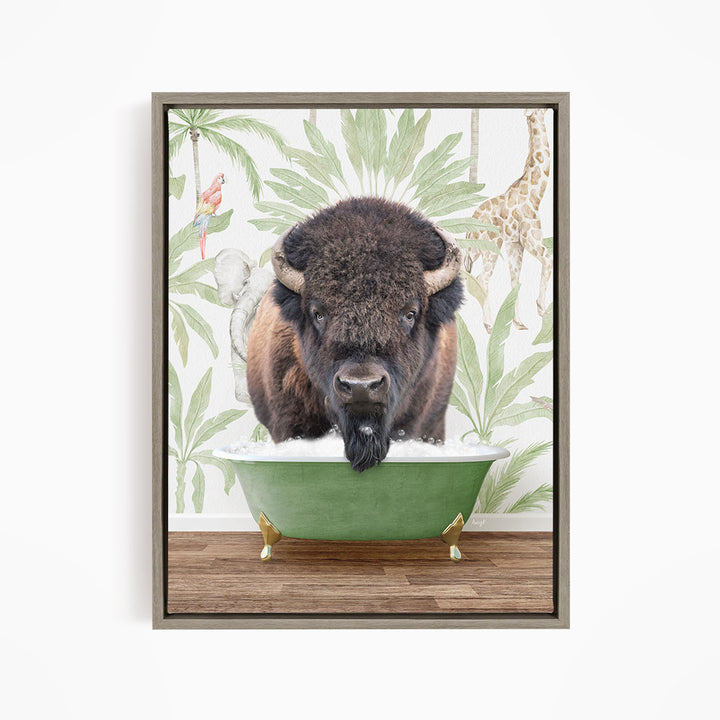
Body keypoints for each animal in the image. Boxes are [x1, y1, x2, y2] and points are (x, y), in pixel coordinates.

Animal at [465, 109, 553, 333]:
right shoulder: (532, 240)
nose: (546, 109)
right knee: (482, 279)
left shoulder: (514, 245)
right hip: (491, 247)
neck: (535, 195)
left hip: (478, 251)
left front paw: (518, 322)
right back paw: (488, 324)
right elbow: (549, 260)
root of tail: (469, 231)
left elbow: (515, 281)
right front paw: (541, 308)